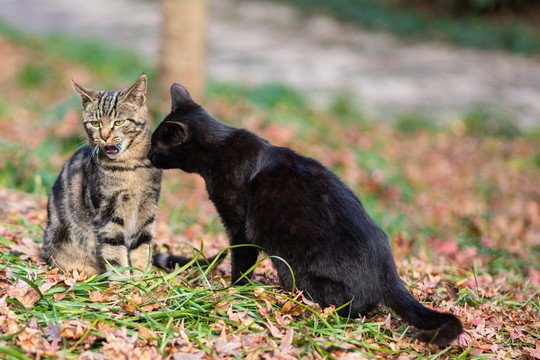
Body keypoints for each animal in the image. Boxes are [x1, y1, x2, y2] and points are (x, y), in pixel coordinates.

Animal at [42, 76, 219, 278]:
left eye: (119, 122)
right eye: (95, 123)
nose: (104, 136)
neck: (131, 167)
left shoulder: (147, 209)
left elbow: (141, 248)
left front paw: (141, 277)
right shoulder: (108, 213)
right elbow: (115, 253)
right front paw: (124, 282)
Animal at [148, 83, 464, 344]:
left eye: (155, 144)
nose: (147, 156)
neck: (219, 148)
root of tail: (390, 275)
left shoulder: (239, 227)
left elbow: (242, 262)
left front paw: (236, 291)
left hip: (294, 270)